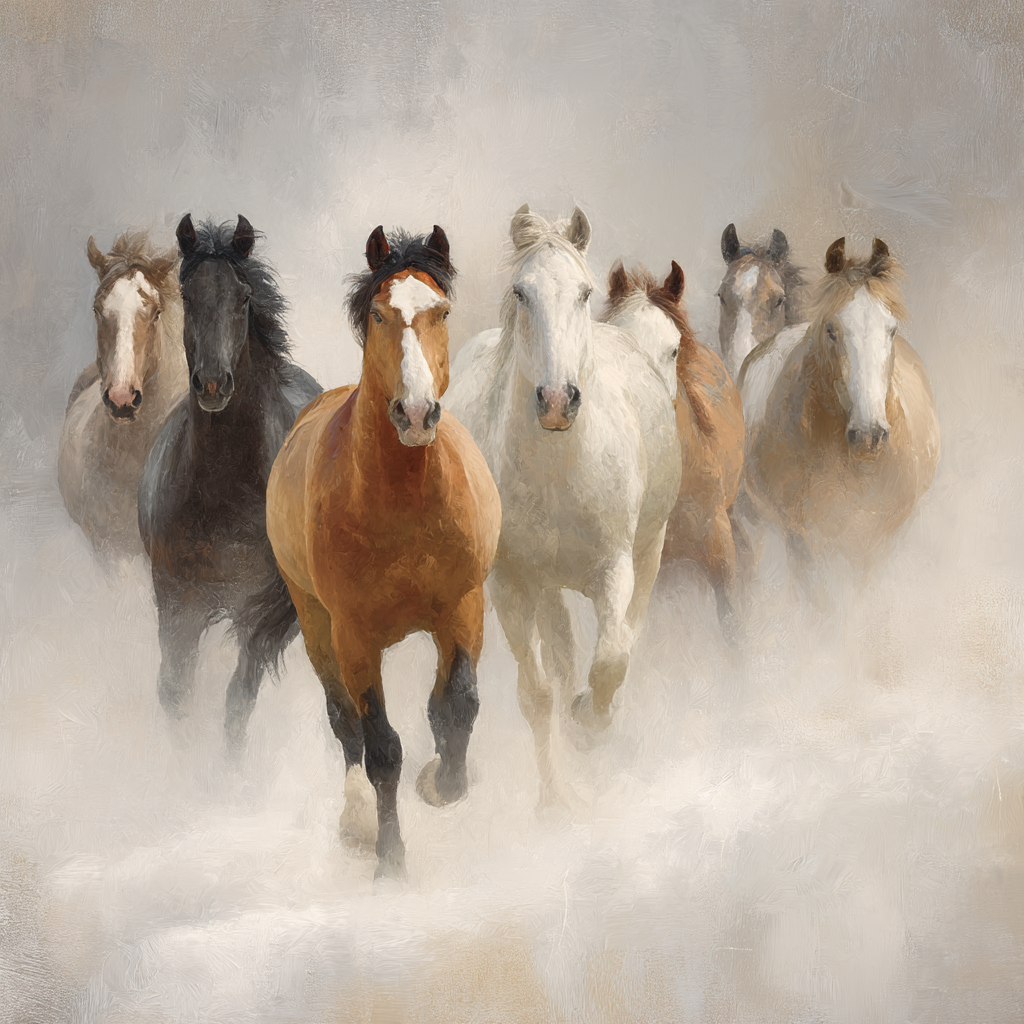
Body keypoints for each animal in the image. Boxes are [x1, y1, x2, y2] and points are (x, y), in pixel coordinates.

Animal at [138, 214, 322, 754]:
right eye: (188, 295)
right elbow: (175, 692)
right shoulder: (176, 599)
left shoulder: (265, 615)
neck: (224, 490)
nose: (214, 383)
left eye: (242, 298)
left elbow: (238, 701)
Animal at [265, 225, 500, 879]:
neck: (404, 502)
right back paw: (357, 819)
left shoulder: (462, 607)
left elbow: (457, 706)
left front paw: (443, 782)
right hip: (316, 626)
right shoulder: (355, 637)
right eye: (377, 314)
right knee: (344, 724)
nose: (415, 412)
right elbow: (381, 748)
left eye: (441, 311)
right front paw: (390, 859)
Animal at [445, 205, 681, 807]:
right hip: (547, 586)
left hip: (649, 549)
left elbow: (612, 659)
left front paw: (591, 722)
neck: (559, 468)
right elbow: (537, 694)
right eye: (520, 292)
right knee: (562, 654)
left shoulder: (614, 567)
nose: (556, 400)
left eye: (583, 292)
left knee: (625, 633)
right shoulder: (512, 586)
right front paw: (555, 803)